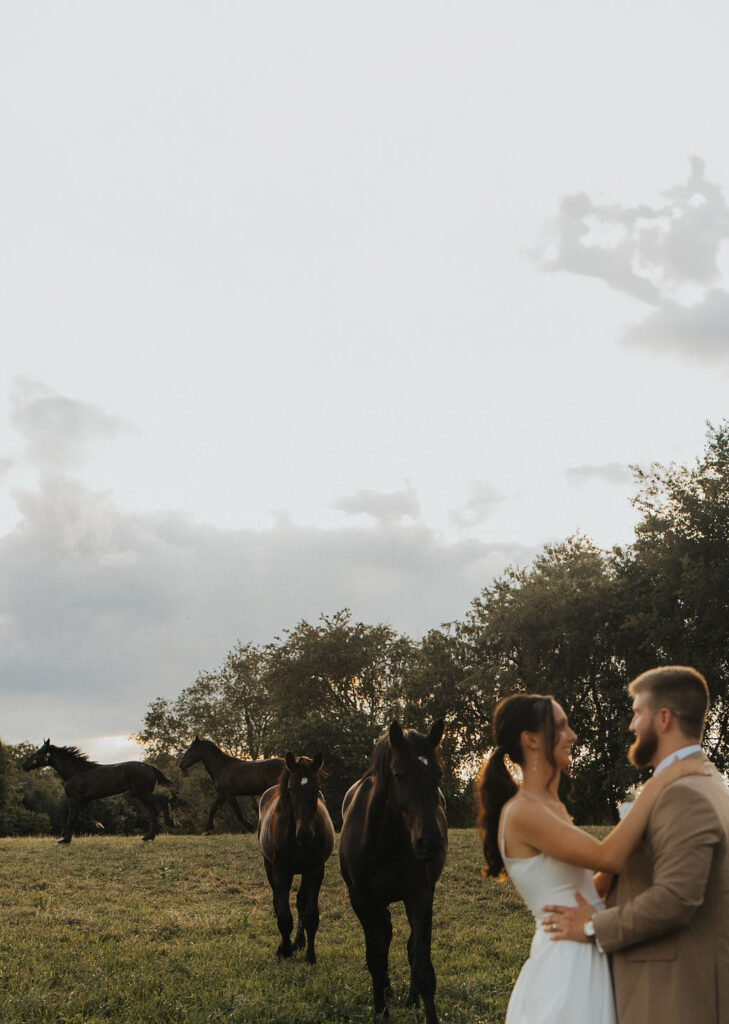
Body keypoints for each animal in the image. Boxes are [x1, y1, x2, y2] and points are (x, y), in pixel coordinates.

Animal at [23, 741, 174, 843]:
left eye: (39, 752)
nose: (24, 765)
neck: (75, 772)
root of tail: (149, 767)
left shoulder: (76, 799)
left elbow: (73, 819)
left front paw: (66, 840)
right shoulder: (81, 800)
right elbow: (77, 817)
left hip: (141, 793)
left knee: (163, 801)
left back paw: (169, 823)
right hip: (141, 795)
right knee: (154, 811)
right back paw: (148, 837)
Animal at [258, 753, 333, 958]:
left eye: (316, 789)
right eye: (291, 789)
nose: (305, 834)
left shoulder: (315, 870)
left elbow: (311, 915)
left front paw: (310, 956)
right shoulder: (281, 871)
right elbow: (284, 916)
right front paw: (284, 950)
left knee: (300, 902)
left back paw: (299, 941)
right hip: (270, 867)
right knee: (277, 900)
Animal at [337, 720, 446, 1024]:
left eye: (438, 774)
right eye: (399, 775)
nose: (430, 843)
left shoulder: (419, 896)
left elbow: (422, 965)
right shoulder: (362, 900)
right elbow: (375, 957)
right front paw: (381, 1010)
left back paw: (410, 999)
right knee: (383, 939)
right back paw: (386, 992)